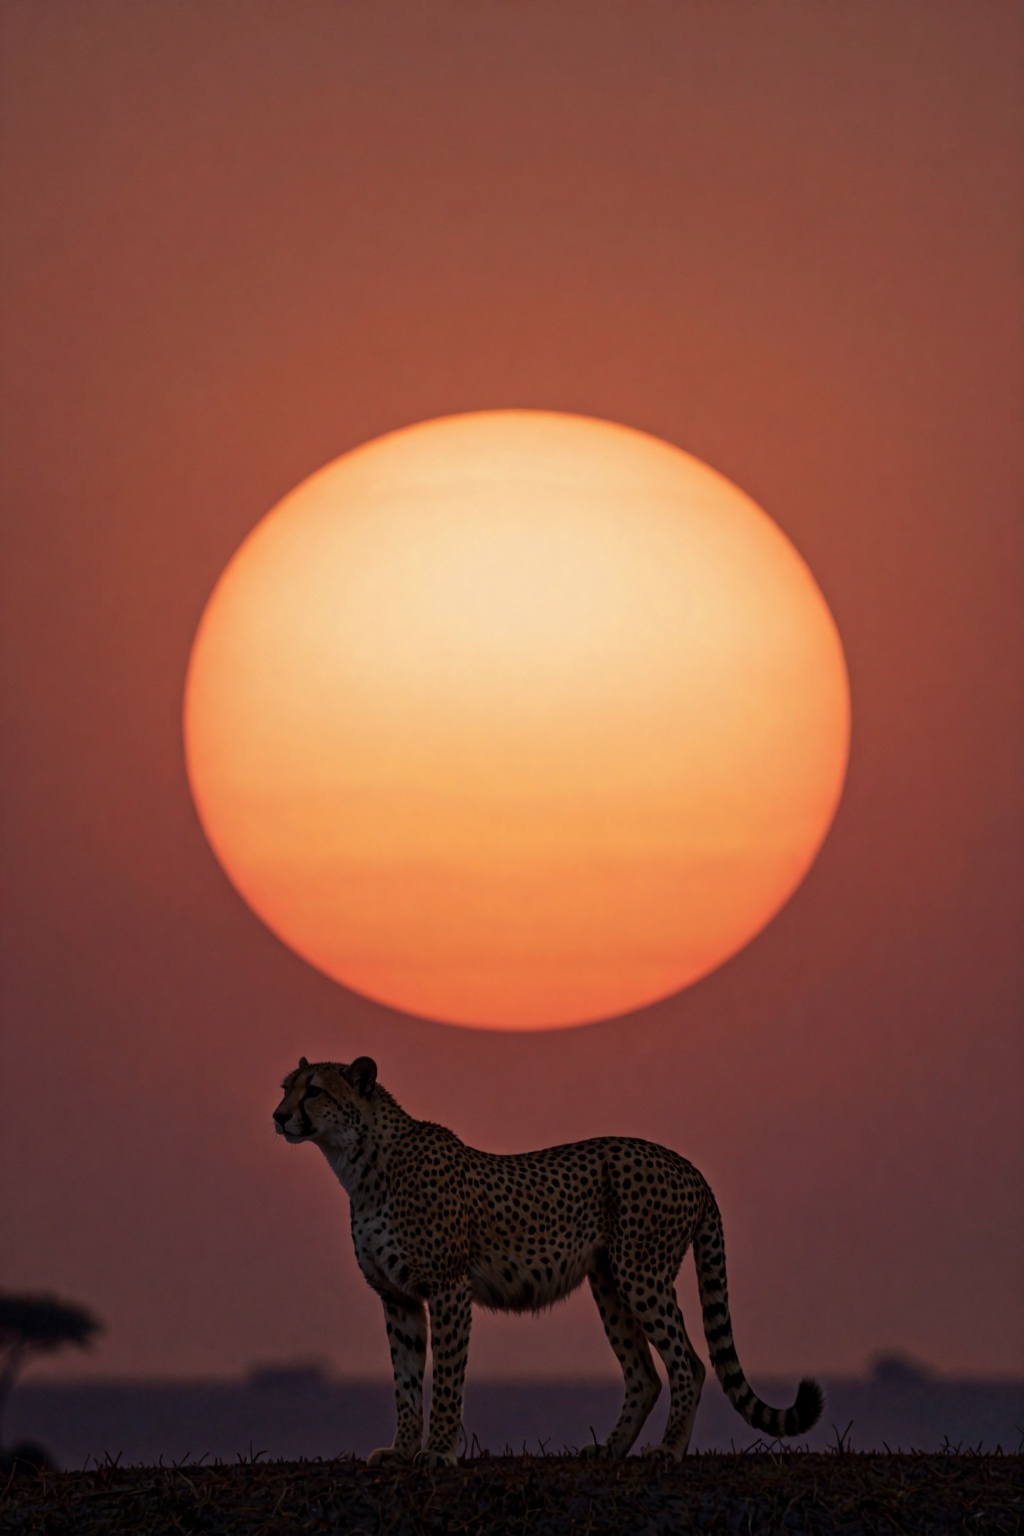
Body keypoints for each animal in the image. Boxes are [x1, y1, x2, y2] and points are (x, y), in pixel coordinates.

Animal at [273, 1055, 824, 1466]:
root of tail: (686, 1164)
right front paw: (402, 1450)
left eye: (314, 1091)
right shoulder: (398, 1296)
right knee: (644, 1373)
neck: (361, 1164)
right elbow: (405, 1380)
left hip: (641, 1275)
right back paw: (610, 1448)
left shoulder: (449, 1288)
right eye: (286, 1086)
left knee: (687, 1361)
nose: (278, 1115)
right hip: (609, 1284)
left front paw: (441, 1452)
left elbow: (447, 1375)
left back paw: (668, 1451)